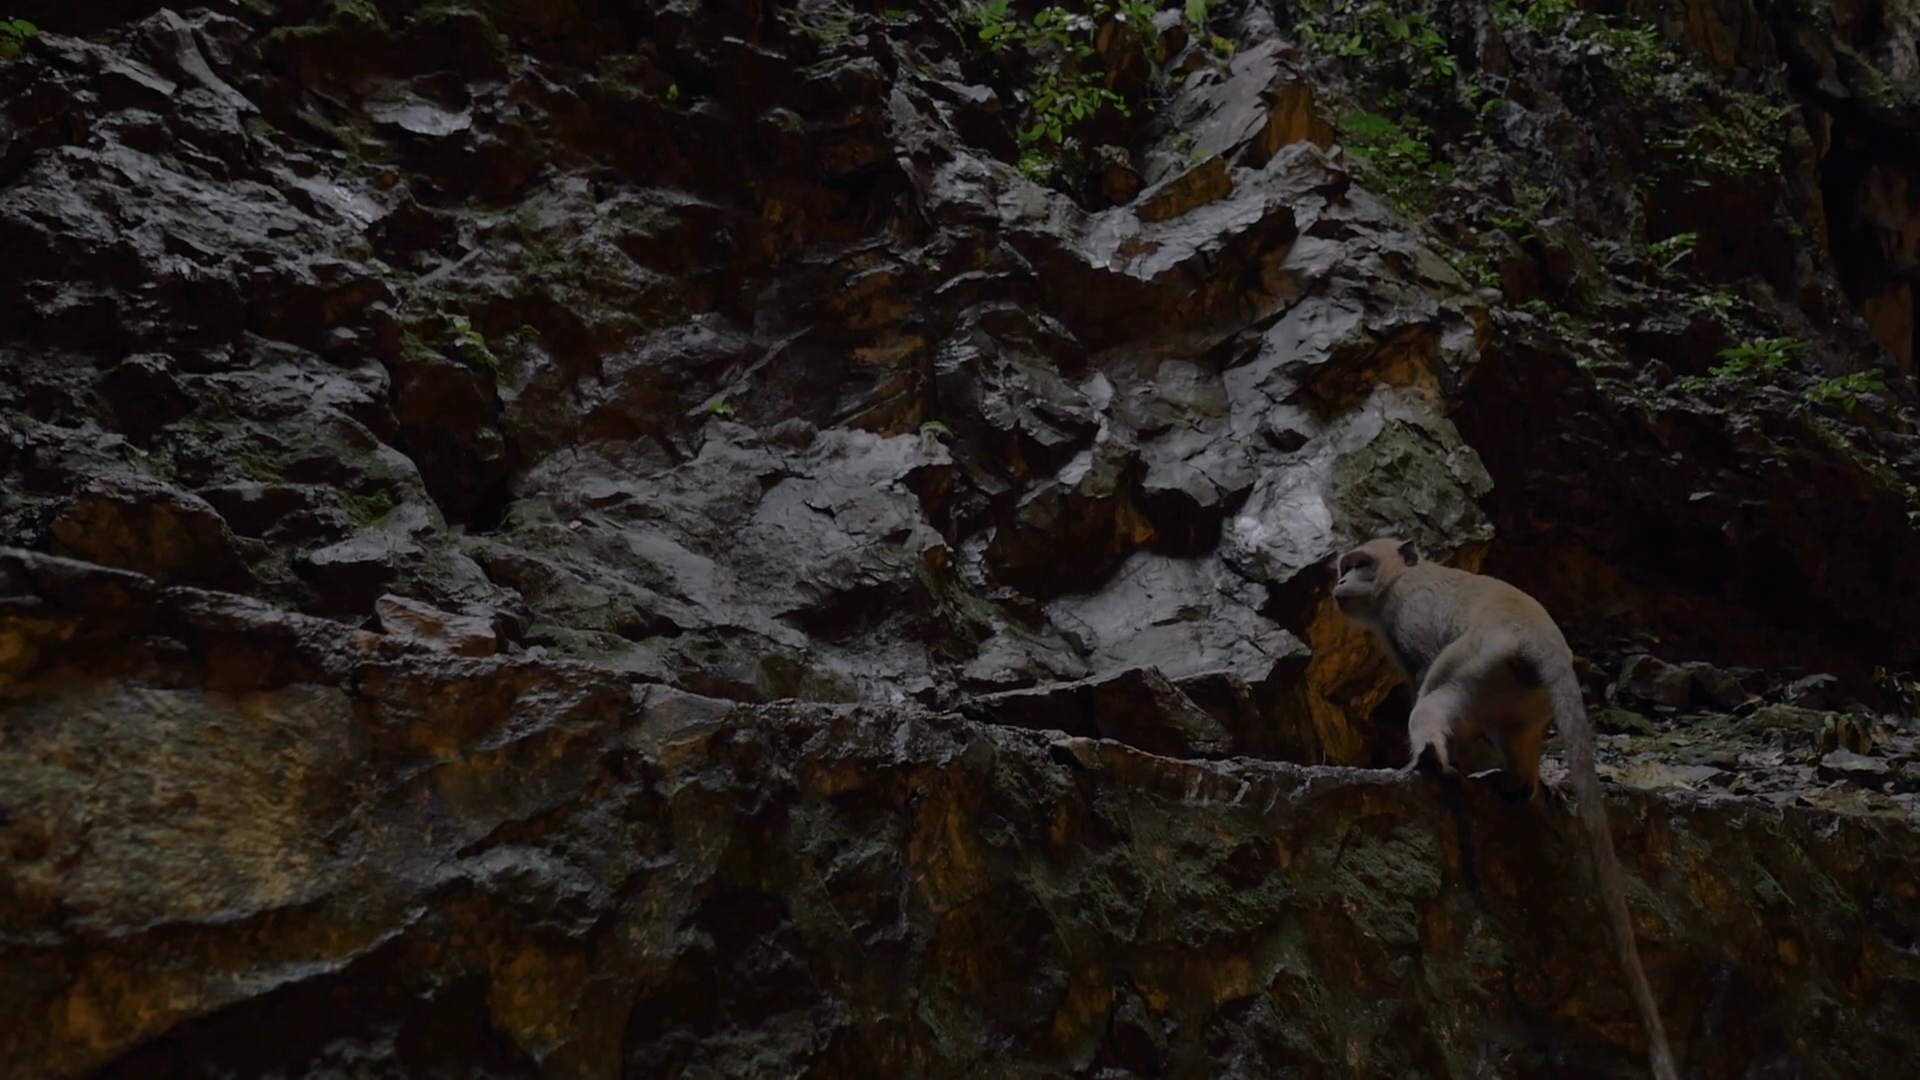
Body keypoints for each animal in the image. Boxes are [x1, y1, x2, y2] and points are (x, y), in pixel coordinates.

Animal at [1333, 537, 1677, 1080]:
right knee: (1514, 739)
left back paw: (1432, 760)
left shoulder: (1406, 616)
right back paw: (1518, 786)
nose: (1342, 581)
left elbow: (1420, 673)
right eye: (1346, 567)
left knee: (1434, 700)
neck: (1400, 578)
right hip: (1524, 698)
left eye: (1361, 566)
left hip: (1477, 664)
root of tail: (1537, 638)